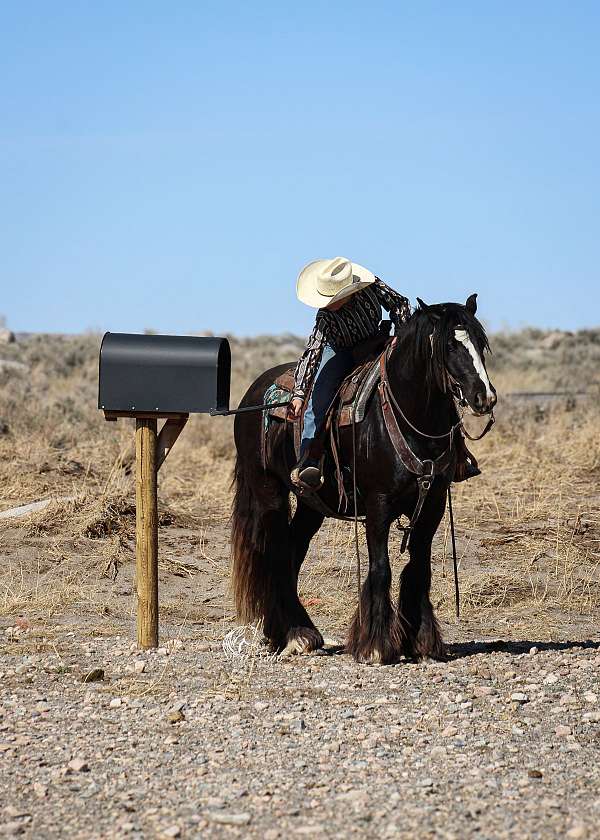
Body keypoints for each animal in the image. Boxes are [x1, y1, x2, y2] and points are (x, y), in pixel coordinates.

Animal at [231, 294, 497, 664]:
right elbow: (381, 567)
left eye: (480, 344)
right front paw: (375, 645)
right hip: (268, 491)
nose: (484, 397)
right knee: (276, 553)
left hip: (311, 503)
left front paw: (421, 642)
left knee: (292, 551)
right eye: (449, 346)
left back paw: (293, 632)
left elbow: (419, 568)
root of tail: (253, 394)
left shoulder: (432, 504)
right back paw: (295, 635)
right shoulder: (378, 503)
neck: (411, 415)